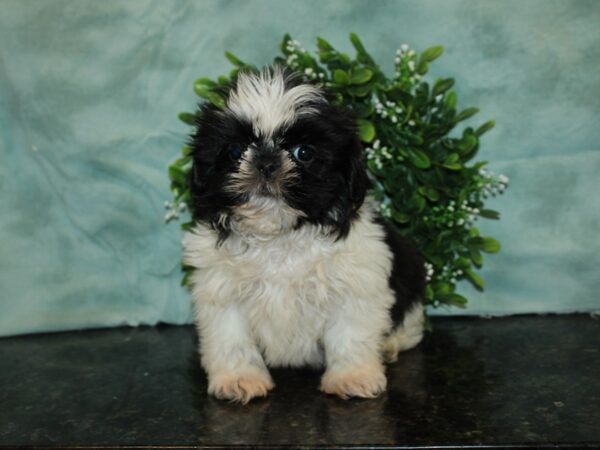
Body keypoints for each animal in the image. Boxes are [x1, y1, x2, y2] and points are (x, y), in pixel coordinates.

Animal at [184, 65, 426, 402]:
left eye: (304, 152)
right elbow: (231, 336)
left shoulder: (356, 282)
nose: (266, 161)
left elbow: (351, 333)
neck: (279, 235)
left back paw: (389, 345)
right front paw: (239, 378)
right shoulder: (221, 287)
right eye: (234, 150)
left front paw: (353, 377)